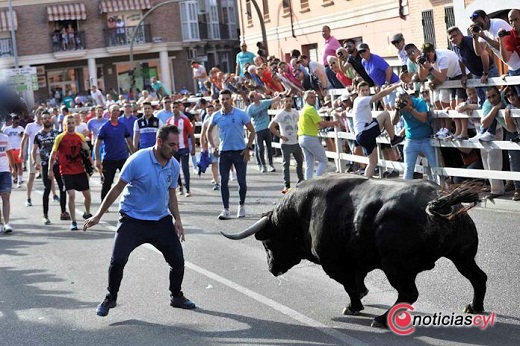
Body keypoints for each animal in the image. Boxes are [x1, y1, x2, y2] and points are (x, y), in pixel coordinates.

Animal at [222, 174, 488, 328]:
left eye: (267, 243)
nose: (271, 268)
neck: (301, 212)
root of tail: (436, 201)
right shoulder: (357, 260)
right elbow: (357, 280)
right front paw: (360, 297)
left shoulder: (334, 264)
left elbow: (349, 285)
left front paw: (354, 305)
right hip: (462, 256)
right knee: (478, 278)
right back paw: (474, 307)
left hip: (396, 268)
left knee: (409, 293)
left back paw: (381, 320)